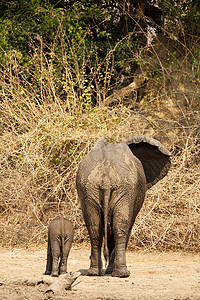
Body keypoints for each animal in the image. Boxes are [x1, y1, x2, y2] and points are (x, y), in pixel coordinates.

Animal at [76, 135, 171, 278]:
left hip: (88, 188)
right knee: (121, 227)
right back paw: (122, 273)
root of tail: (106, 176)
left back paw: (94, 273)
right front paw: (110, 270)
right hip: (125, 189)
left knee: (95, 228)